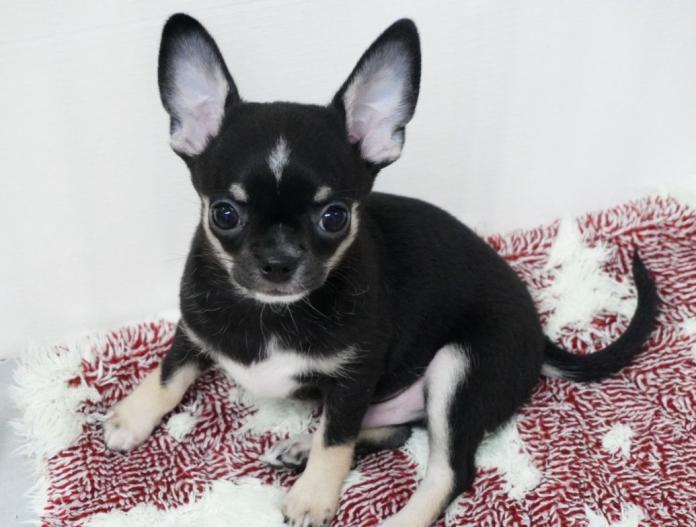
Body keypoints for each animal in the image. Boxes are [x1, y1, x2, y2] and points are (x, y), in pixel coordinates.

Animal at [104, 14, 659, 527]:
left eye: (334, 217)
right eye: (224, 214)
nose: (278, 262)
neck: (270, 315)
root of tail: (541, 340)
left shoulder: (354, 379)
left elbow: (337, 437)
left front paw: (313, 496)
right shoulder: (195, 325)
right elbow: (171, 370)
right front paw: (131, 418)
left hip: (459, 370)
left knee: (447, 470)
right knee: (396, 429)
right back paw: (299, 447)